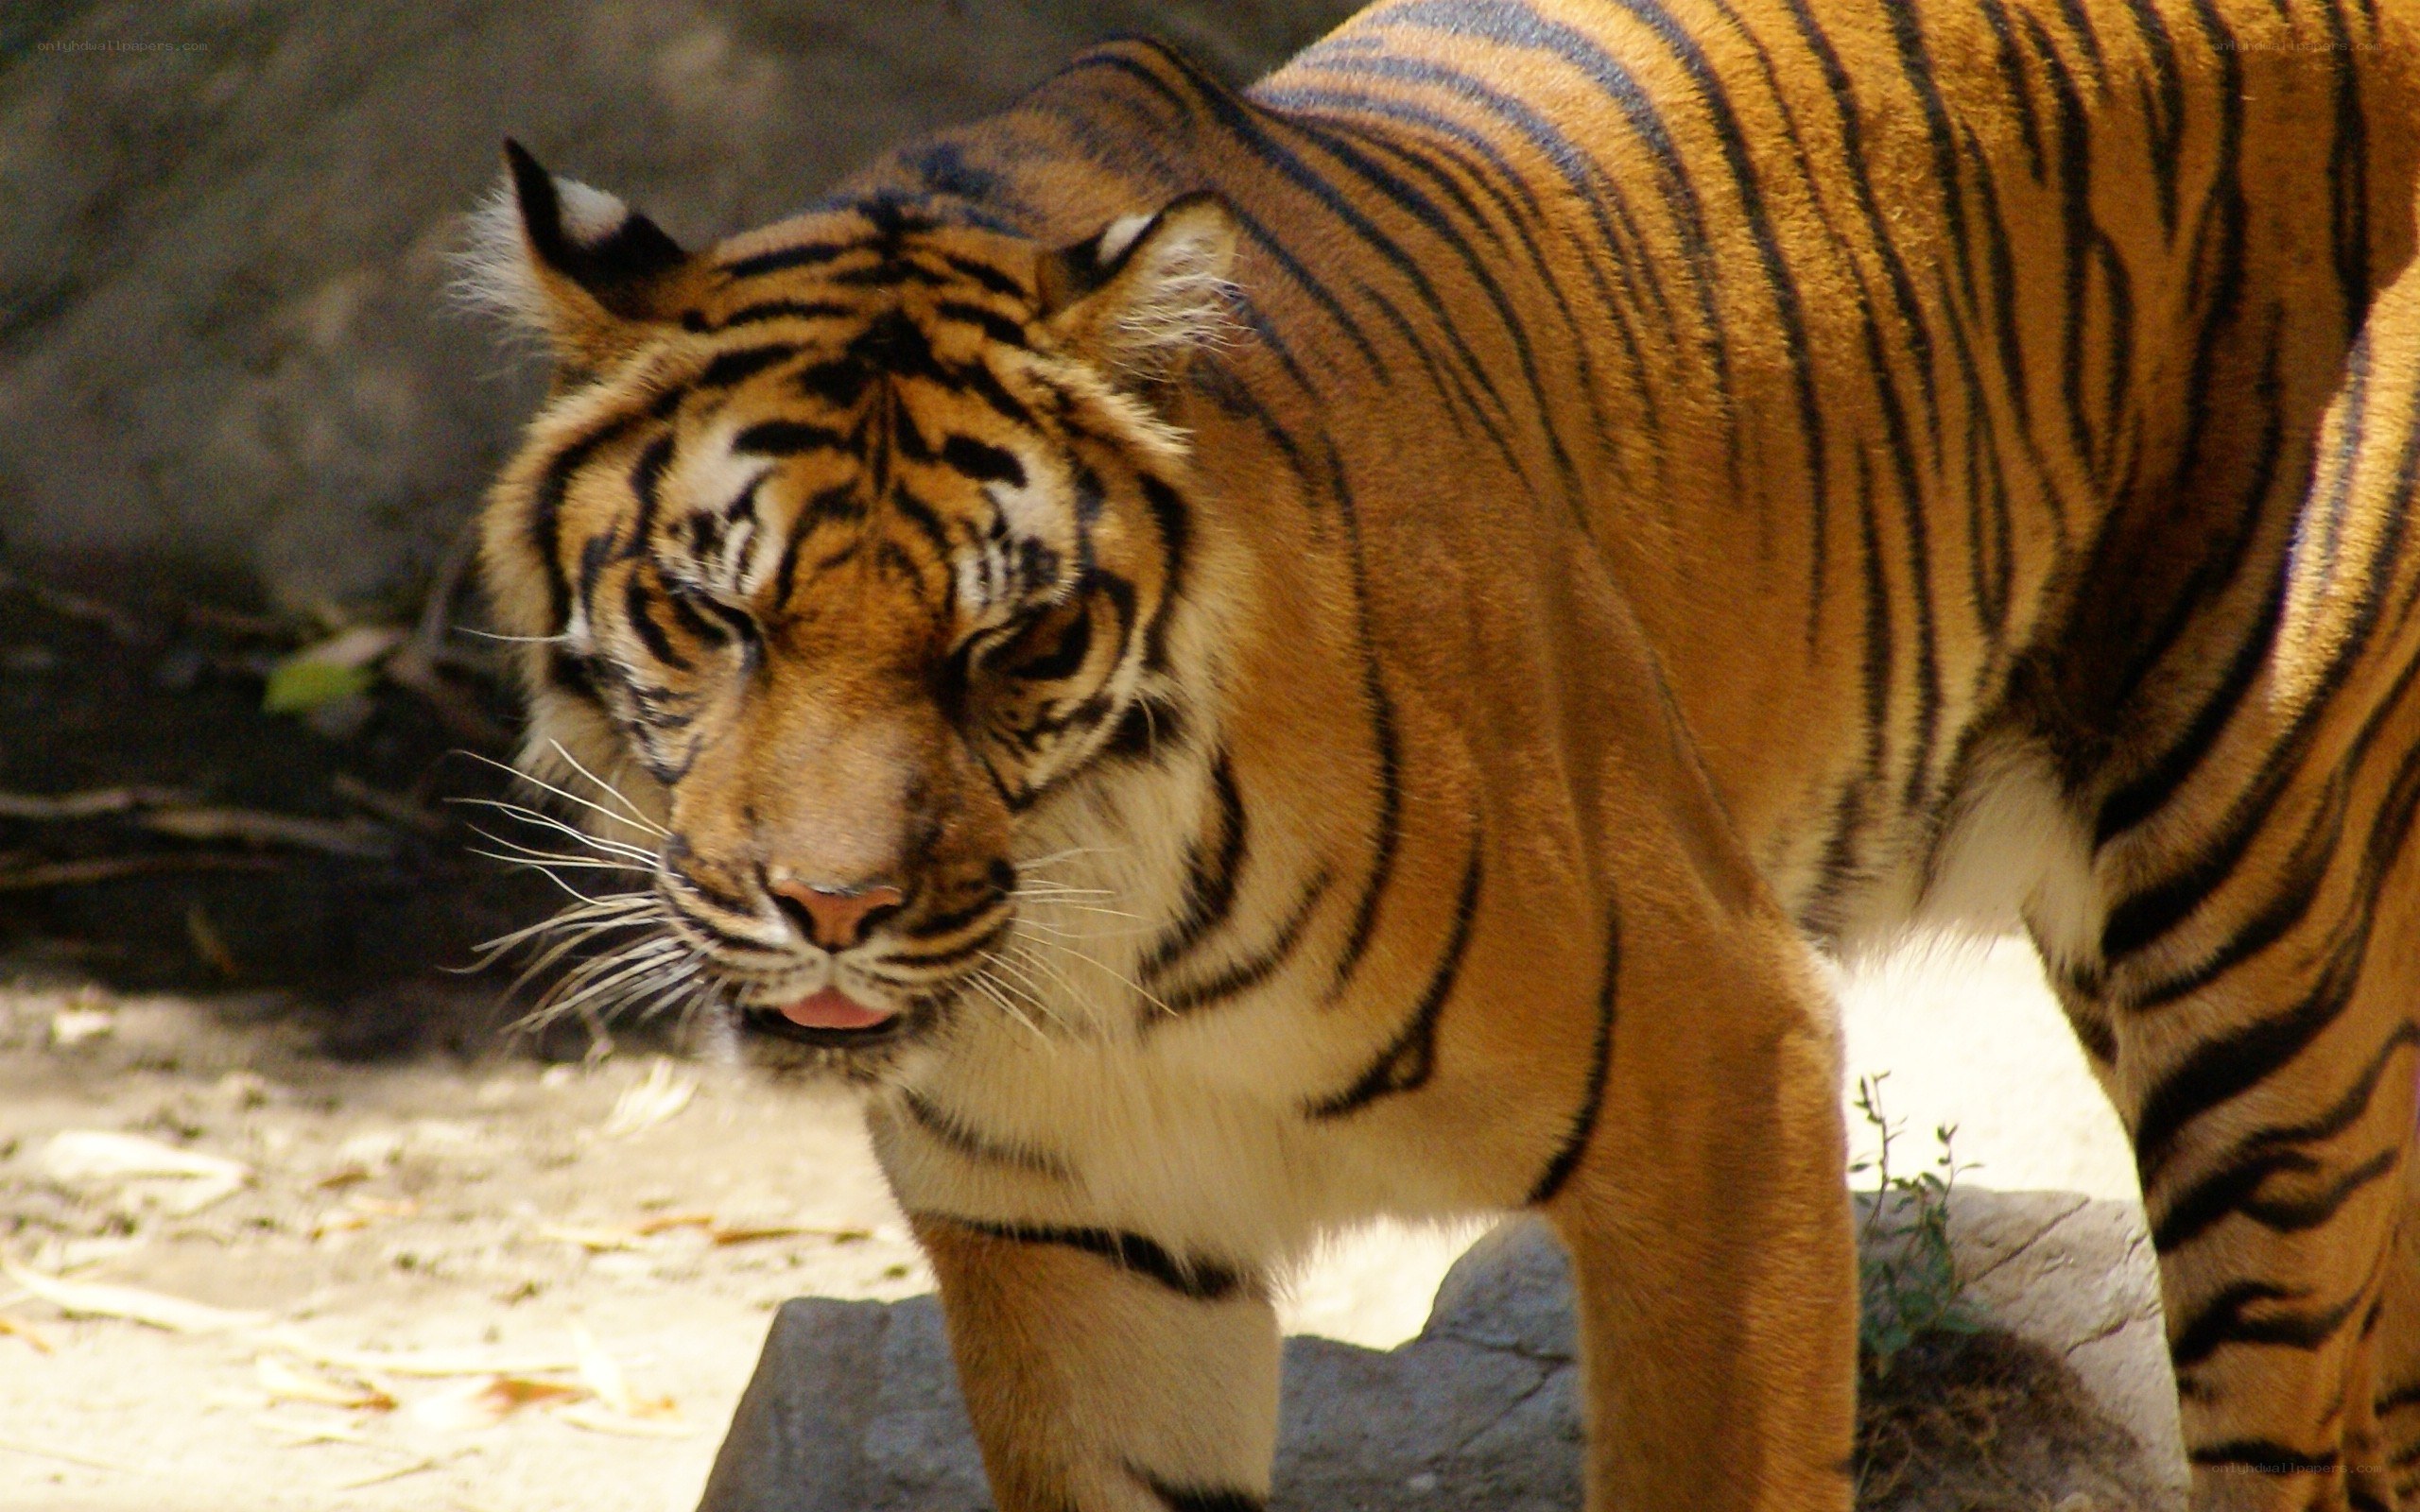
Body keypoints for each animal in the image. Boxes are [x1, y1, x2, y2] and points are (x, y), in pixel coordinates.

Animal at [463, 0, 2420, 1506]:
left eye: (1010, 641)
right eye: (710, 618)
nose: (834, 910)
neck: (1106, 971)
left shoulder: (1725, 1079)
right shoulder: (1083, 1243)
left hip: (2253, 959)